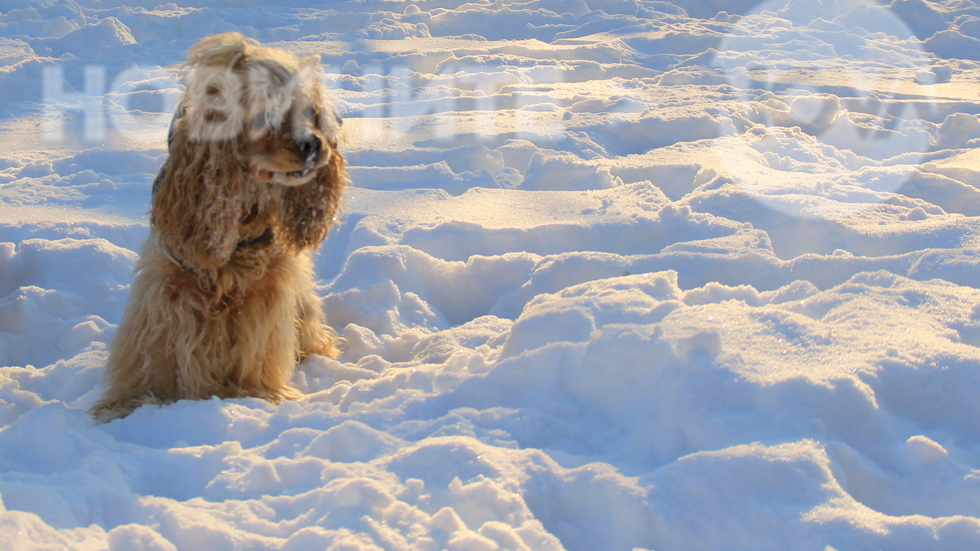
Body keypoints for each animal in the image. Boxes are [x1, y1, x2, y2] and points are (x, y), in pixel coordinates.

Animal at [89, 33, 348, 422]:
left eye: (309, 111)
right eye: (266, 114)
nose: (315, 144)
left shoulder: (266, 290)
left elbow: (258, 349)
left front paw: (259, 394)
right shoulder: (169, 286)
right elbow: (155, 353)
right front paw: (135, 402)